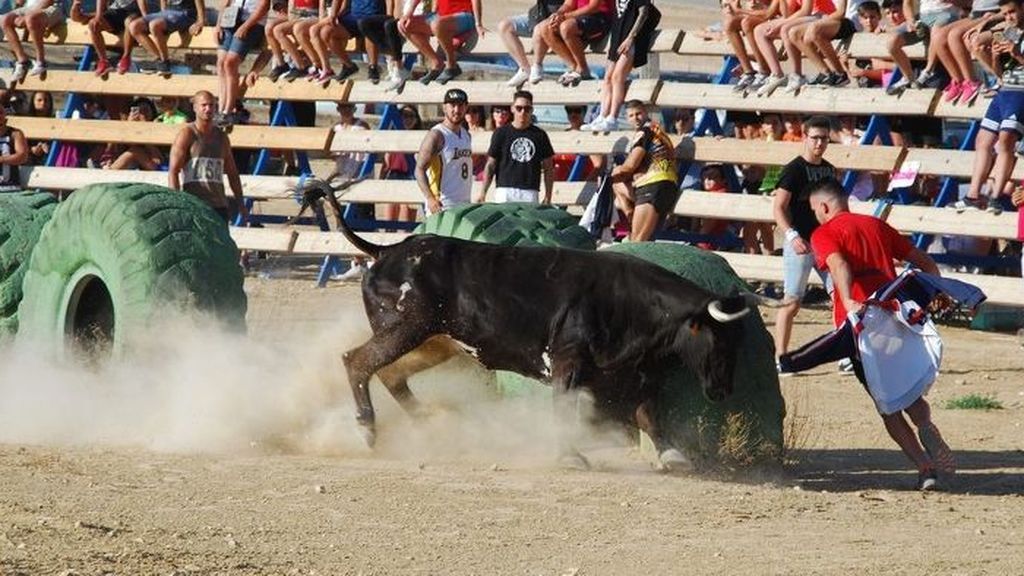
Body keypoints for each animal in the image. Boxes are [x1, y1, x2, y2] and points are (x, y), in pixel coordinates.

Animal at [339, 222, 757, 463]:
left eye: (739, 342)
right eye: (717, 339)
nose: (722, 390)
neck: (629, 302)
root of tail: (387, 250)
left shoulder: (636, 374)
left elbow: (648, 414)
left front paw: (672, 454)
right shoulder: (567, 364)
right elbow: (565, 410)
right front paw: (569, 455)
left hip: (436, 341)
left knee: (390, 373)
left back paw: (429, 423)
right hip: (407, 330)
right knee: (357, 361)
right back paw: (367, 429)